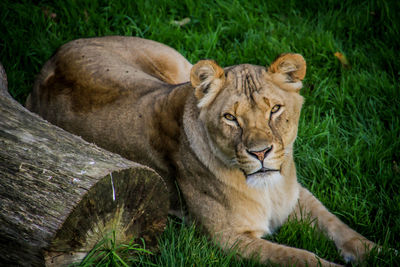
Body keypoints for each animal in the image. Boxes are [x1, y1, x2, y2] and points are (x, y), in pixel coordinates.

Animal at [26, 36, 376, 267]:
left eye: (275, 109)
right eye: (231, 118)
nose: (261, 153)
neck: (270, 189)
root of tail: (53, 57)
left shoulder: (294, 194)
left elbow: (333, 221)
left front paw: (371, 250)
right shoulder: (230, 240)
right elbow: (301, 257)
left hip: (180, 70)